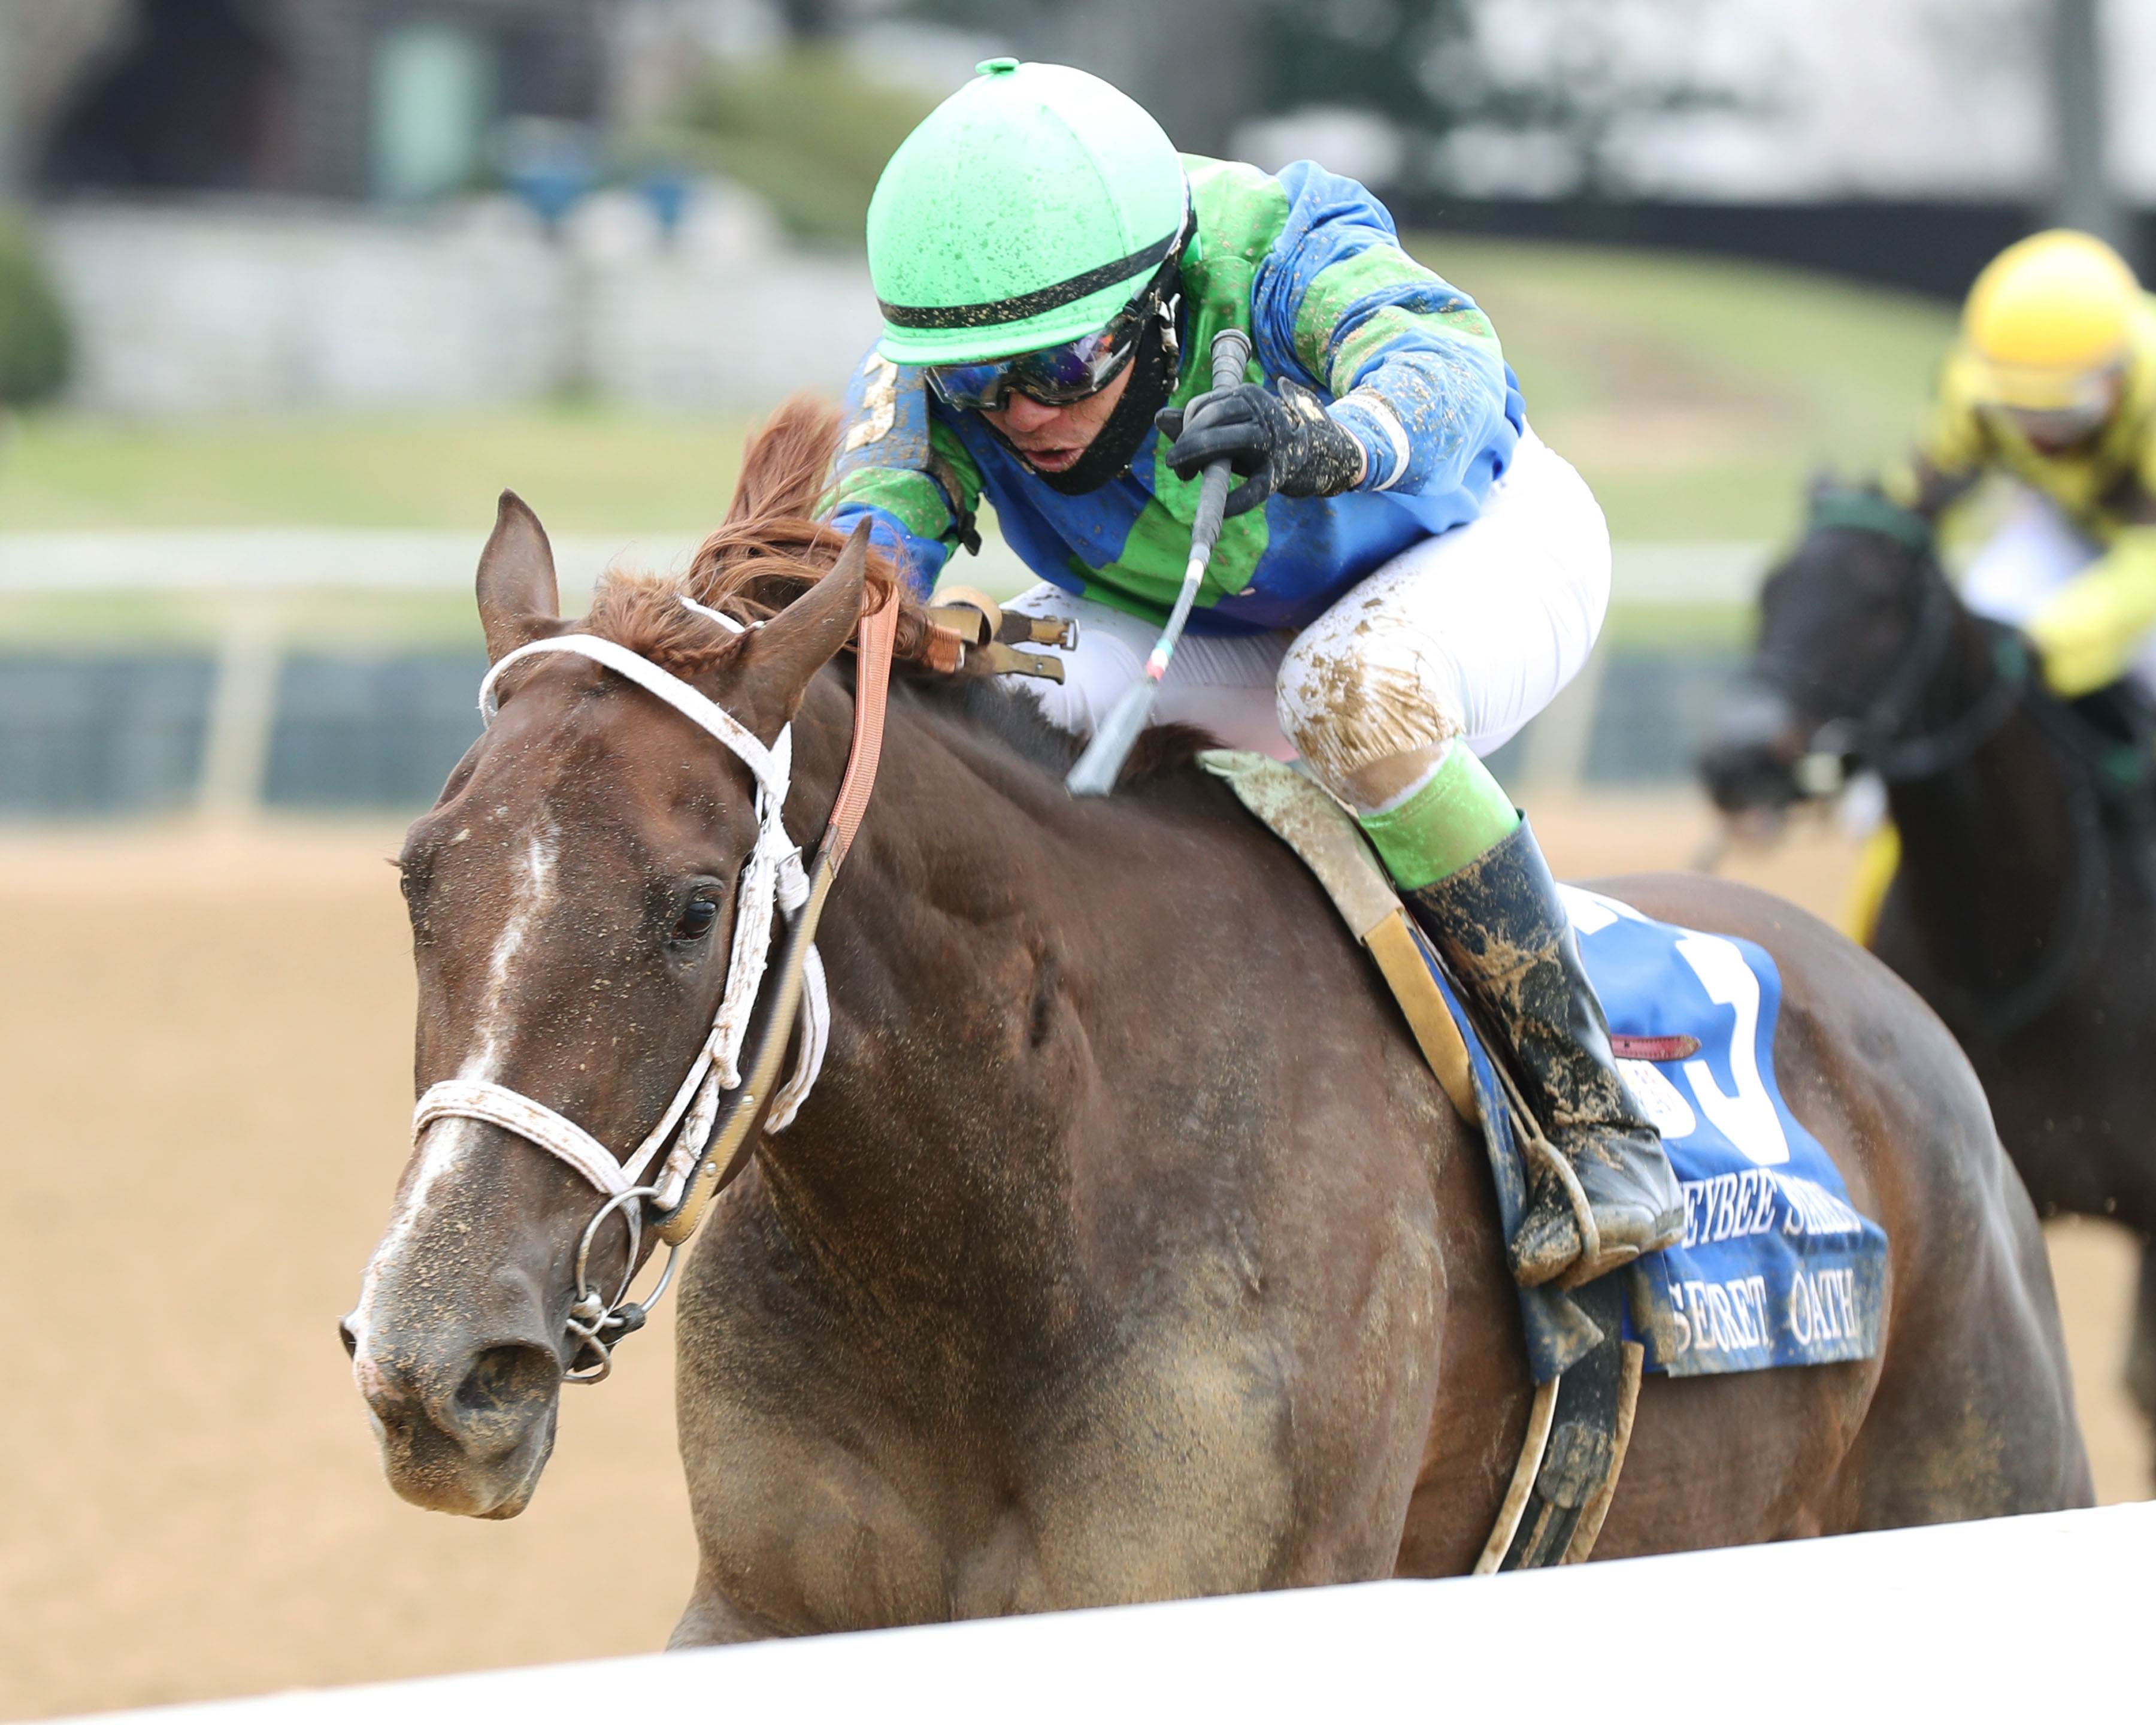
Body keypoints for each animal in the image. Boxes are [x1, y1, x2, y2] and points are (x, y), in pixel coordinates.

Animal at [345, 407, 2078, 1647]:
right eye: (419, 879)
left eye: (694, 905)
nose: (440, 1367)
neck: (1014, 1220)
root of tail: (1881, 1003)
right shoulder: (768, 1610)